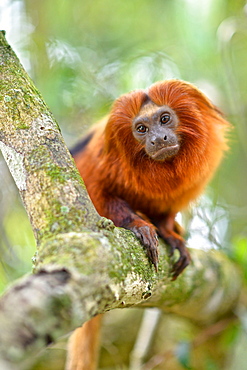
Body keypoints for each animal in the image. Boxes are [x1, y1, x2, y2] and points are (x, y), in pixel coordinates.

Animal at [67, 79, 230, 368]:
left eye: (165, 119)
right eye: (141, 129)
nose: (157, 138)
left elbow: (166, 212)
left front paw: (168, 233)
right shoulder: (100, 162)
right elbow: (98, 196)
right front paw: (138, 225)